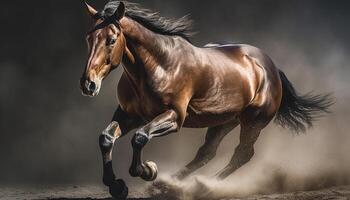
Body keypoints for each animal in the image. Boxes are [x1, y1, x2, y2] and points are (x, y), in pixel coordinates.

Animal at [79, 1, 334, 198]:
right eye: (89, 37)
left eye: (111, 39)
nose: (88, 84)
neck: (158, 65)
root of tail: (271, 68)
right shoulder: (129, 114)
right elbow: (106, 138)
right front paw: (117, 186)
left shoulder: (174, 117)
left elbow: (140, 137)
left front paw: (148, 170)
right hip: (224, 121)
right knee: (207, 152)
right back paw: (169, 184)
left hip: (253, 122)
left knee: (242, 154)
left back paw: (205, 187)